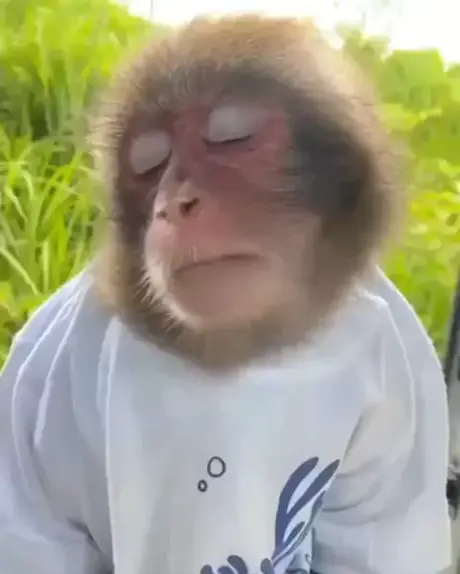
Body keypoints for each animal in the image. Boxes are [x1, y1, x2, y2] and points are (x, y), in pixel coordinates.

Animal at [0, 14, 451, 574]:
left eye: (231, 136)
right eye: (150, 165)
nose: (173, 205)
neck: (239, 348)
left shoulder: (406, 374)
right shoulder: (36, 380)